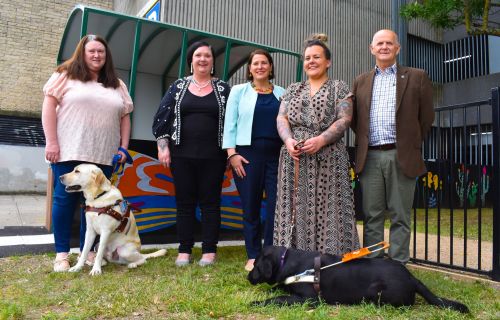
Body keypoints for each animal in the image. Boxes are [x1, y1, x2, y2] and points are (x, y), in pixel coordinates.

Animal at [248, 245, 470, 312]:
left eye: (256, 264)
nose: (248, 276)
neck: (286, 261)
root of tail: (412, 278)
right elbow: (278, 290)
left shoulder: (309, 299)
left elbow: (279, 298)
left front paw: (257, 302)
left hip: (376, 291)